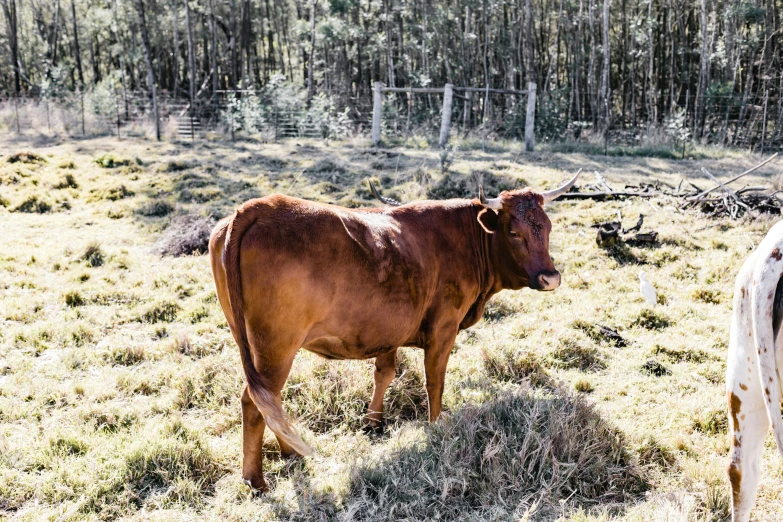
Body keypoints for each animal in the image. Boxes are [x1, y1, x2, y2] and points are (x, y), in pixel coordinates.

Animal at [210, 173, 580, 490]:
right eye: (514, 232)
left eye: (547, 227)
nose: (551, 277)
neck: (465, 238)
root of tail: (259, 207)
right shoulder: (443, 329)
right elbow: (435, 381)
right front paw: (436, 426)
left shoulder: (388, 330)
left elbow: (384, 373)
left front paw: (373, 422)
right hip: (275, 348)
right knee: (254, 401)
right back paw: (256, 480)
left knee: (268, 400)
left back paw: (289, 451)